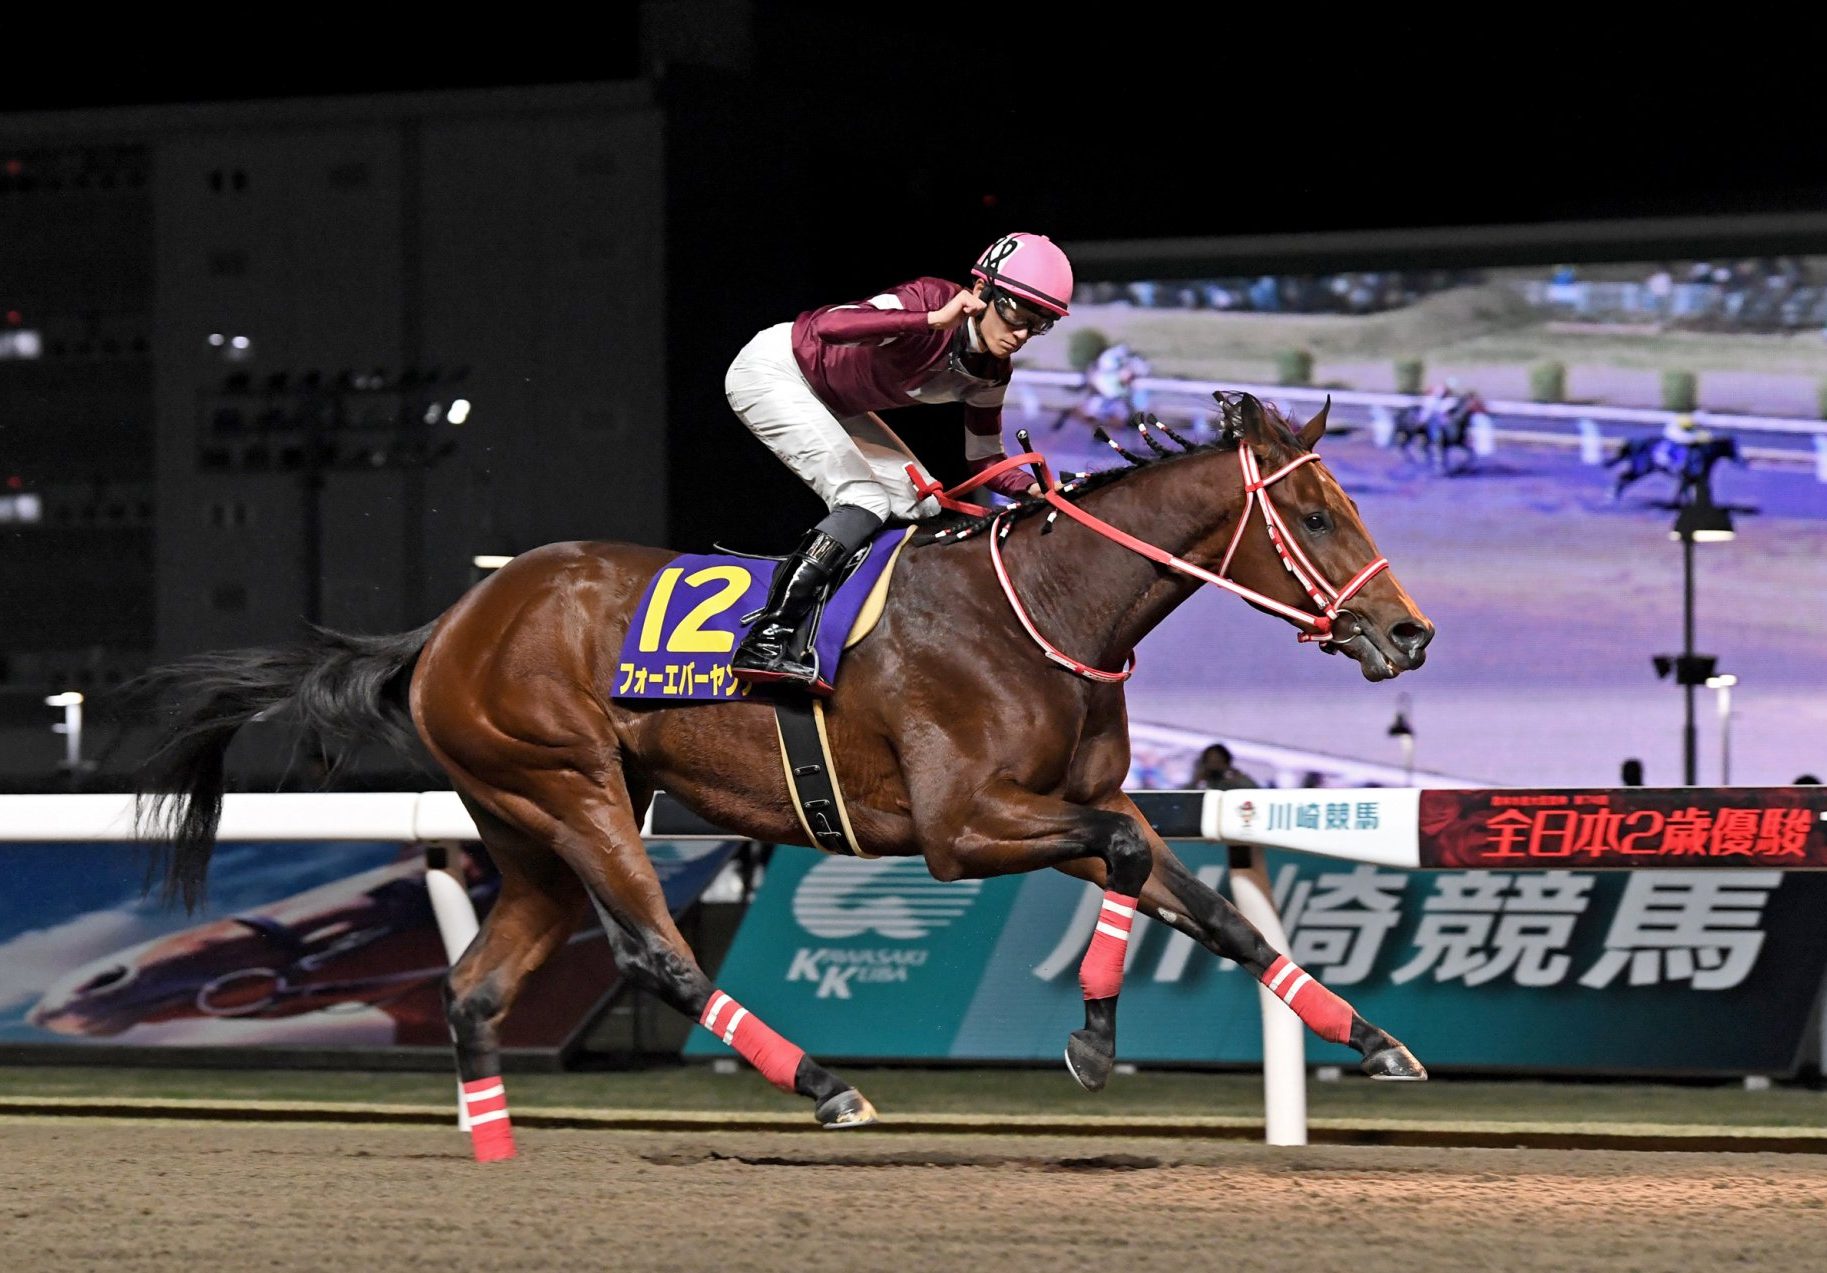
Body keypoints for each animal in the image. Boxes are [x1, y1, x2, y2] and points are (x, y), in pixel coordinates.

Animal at [131, 391, 1436, 1159]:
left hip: (523, 828)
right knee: (653, 952)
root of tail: (451, 621)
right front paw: (1096, 1043)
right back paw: (823, 1083)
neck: (1043, 607)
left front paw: (1372, 1042)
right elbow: (1122, 856)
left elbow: (1208, 902)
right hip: (571, 787)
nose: (1409, 634)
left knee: (472, 985)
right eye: (1318, 512)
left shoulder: (1084, 795)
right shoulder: (962, 824)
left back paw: (495, 1149)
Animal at [1608, 432, 1744, 503]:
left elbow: (1683, 492)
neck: (1702, 453)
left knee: (1624, 477)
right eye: (1733, 449)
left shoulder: (1692, 479)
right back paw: (1613, 496)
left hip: (1641, 469)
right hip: (1641, 468)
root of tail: (1634, 442)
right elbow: (1685, 493)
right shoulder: (1688, 477)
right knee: (1623, 477)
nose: (1742, 461)